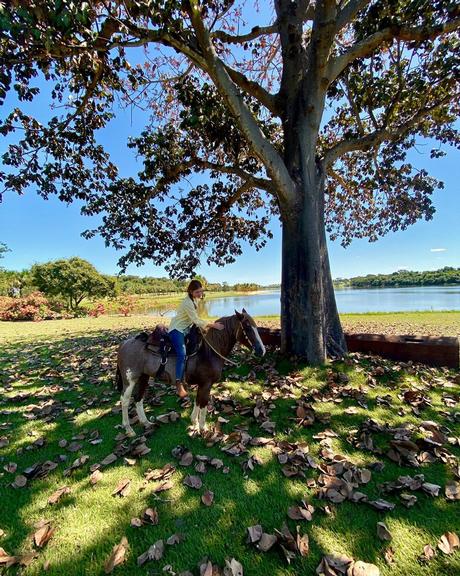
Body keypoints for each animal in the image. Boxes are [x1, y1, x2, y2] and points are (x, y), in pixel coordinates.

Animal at [115, 308, 266, 434]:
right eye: (247, 327)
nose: (262, 350)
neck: (209, 351)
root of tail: (124, 344)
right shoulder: (206, 384)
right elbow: (203, 403)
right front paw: (203, 428)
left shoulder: (202, 384)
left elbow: (198, 401)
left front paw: (194, 422)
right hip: (129, 380)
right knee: (125, 400)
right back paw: (128, 429)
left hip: (143, 377)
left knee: (138, 398)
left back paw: (146, 423)